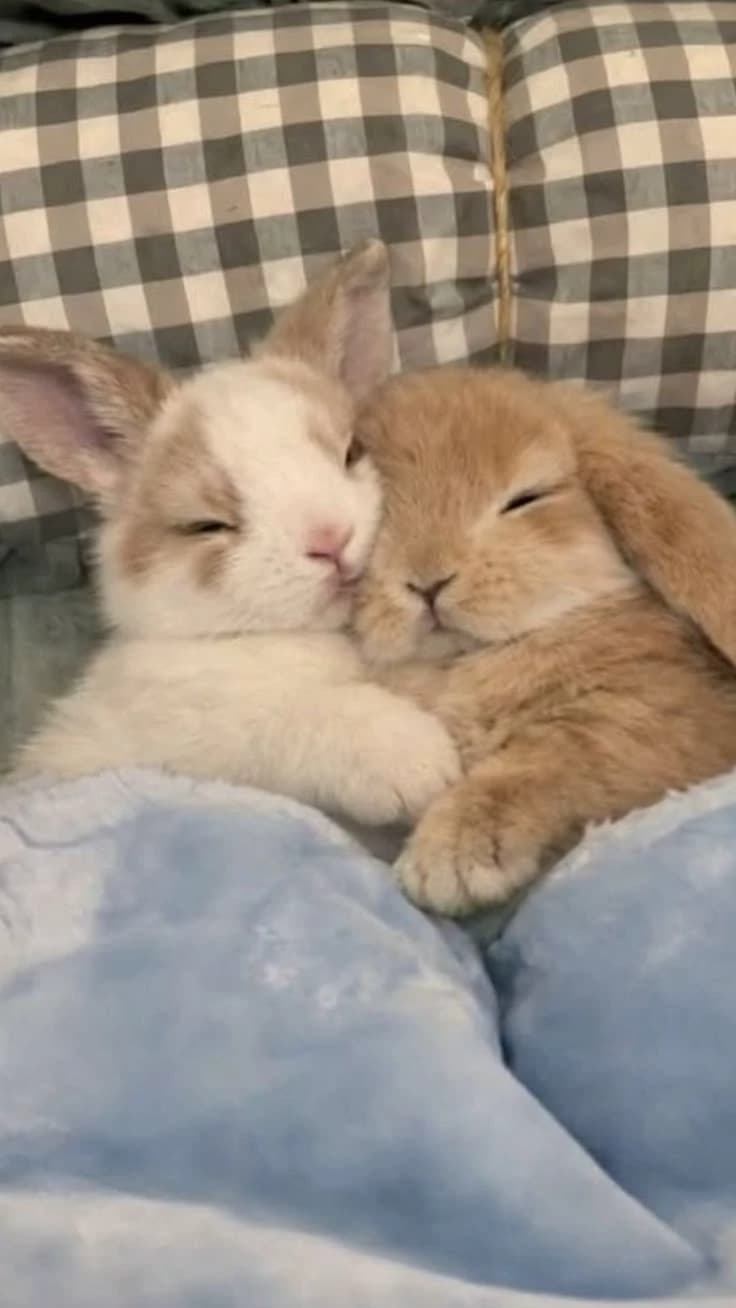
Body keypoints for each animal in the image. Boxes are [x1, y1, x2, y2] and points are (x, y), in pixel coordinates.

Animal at [0, 241, 459, 825]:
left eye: (352, 451)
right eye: (206, 526)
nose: (332, 539)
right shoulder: (191, 737)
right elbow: (284, 720)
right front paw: (417, 761)